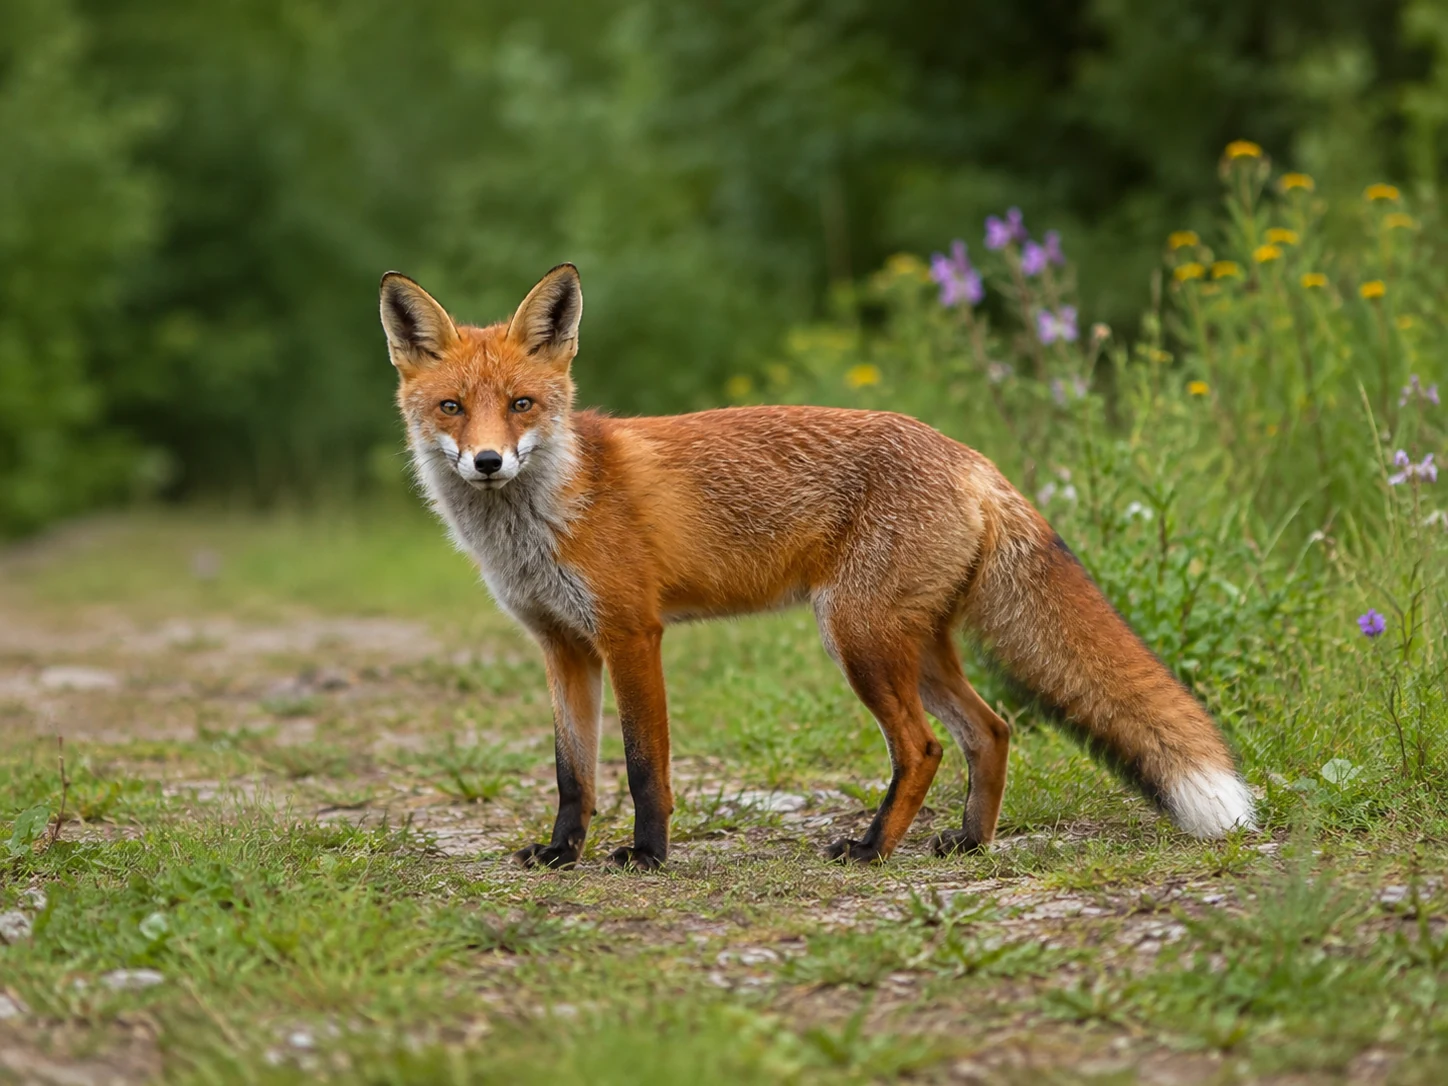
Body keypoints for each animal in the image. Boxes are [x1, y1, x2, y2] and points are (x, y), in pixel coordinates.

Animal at [379, 263, 1256, 870]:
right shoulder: (562, 646)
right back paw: (968, 844)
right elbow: (572, 774)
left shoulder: (631, 634)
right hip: (913, 644)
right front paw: (563, 853)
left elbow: (642, 764)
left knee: (924, 747)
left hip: (857, 637)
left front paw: (649, 855)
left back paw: (871, 849)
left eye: (521, 405)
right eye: (452, 408)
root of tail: (970, 457)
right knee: (992, 729)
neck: (546, 513)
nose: (488, 462)